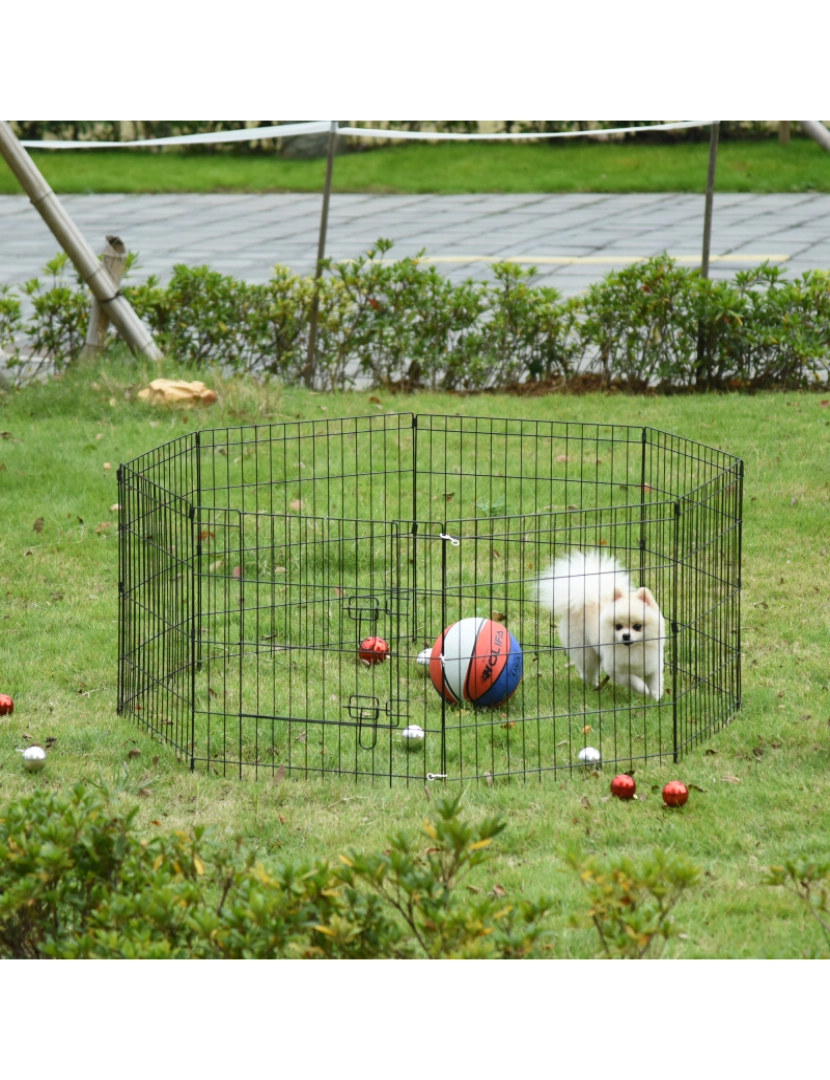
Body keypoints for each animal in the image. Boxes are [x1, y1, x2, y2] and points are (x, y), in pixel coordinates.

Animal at [537, 548, 664, 699]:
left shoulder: (654, 664)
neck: (634, 649)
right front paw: (643, 689)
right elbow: (632, 680)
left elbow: (655, 681)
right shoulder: (616, 670)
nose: (626, 636)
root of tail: (584, 598)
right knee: (587, 672)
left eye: (637, 626)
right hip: (586, 653)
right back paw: (594, 686)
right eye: (618, 626)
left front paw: (655, 697)